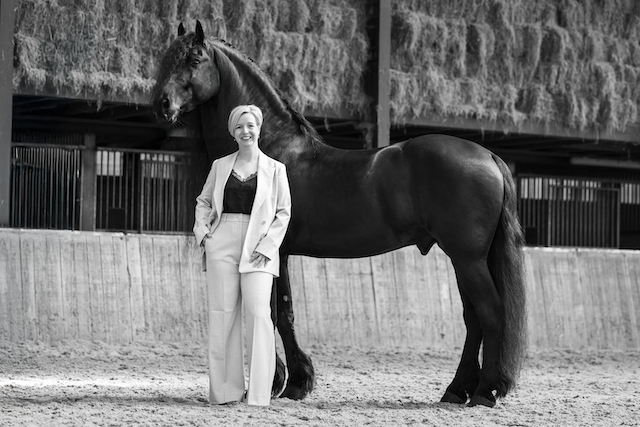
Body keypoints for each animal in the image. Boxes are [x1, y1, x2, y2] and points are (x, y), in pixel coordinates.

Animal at [151, 21, 527, 408]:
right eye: (168, 59)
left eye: (195, 58)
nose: (162, 104)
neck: (271, 146)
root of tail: (489, 156)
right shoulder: (280, 253)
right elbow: (278, 312)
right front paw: (287, 380)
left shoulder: (275, 251)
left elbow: (276, 313)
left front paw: (289, 382)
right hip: (465, 259)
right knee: (474, 318)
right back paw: (457, 390)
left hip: (467, 258)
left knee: (490, 313)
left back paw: (484, 392)